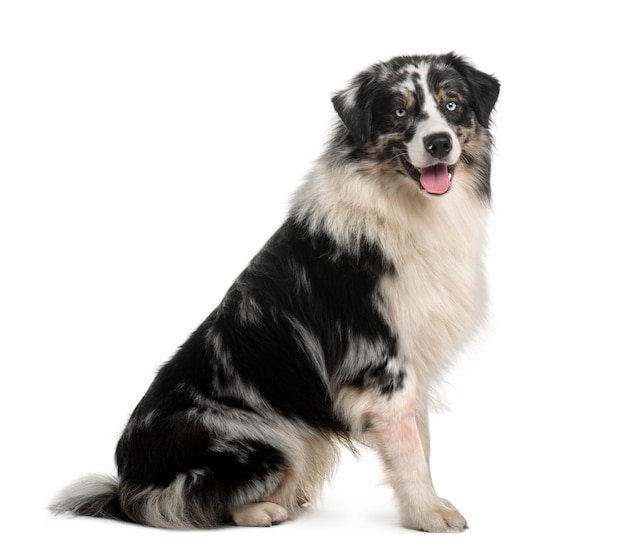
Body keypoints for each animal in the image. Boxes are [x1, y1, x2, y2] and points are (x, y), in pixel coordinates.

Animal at [52, 52, 498, 532]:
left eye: (452, 105)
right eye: (399, 111)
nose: (438, 143)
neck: (403, 205)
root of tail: (127, 486)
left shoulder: (413, 362)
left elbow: (423, 443)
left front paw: (428, 504)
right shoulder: (381, 364)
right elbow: (410, 451)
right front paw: (429, 513)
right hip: (269, 437)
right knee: (195, 500)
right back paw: (265, 509)